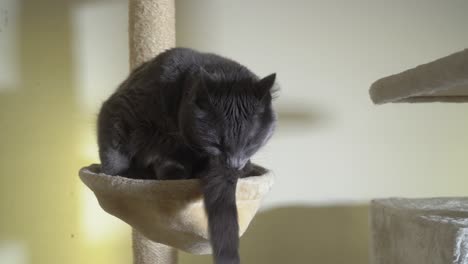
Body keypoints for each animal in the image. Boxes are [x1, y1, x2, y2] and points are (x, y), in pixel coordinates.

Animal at [97, 48, 276, 264]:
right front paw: (116, 178)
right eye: (217, 143)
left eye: (250, 143)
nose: (233, 164)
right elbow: (113, 154)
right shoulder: (122, 108)